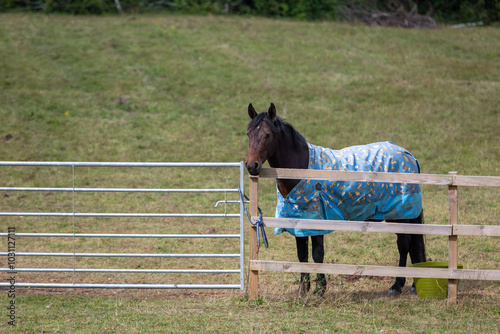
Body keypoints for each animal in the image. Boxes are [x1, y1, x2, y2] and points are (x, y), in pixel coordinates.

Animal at [245, 103, 426, 296]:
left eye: (267, 134)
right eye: (248, 133)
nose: (251, 166)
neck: (301, 169)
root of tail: (408, 154)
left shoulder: (317, 222)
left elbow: (317, 254)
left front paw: (320, 289)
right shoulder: (298, 222)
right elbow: (302, 255)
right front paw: (303, 289)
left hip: (400, 214)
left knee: (404, 244)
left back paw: (397, 286)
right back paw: (413, 285)